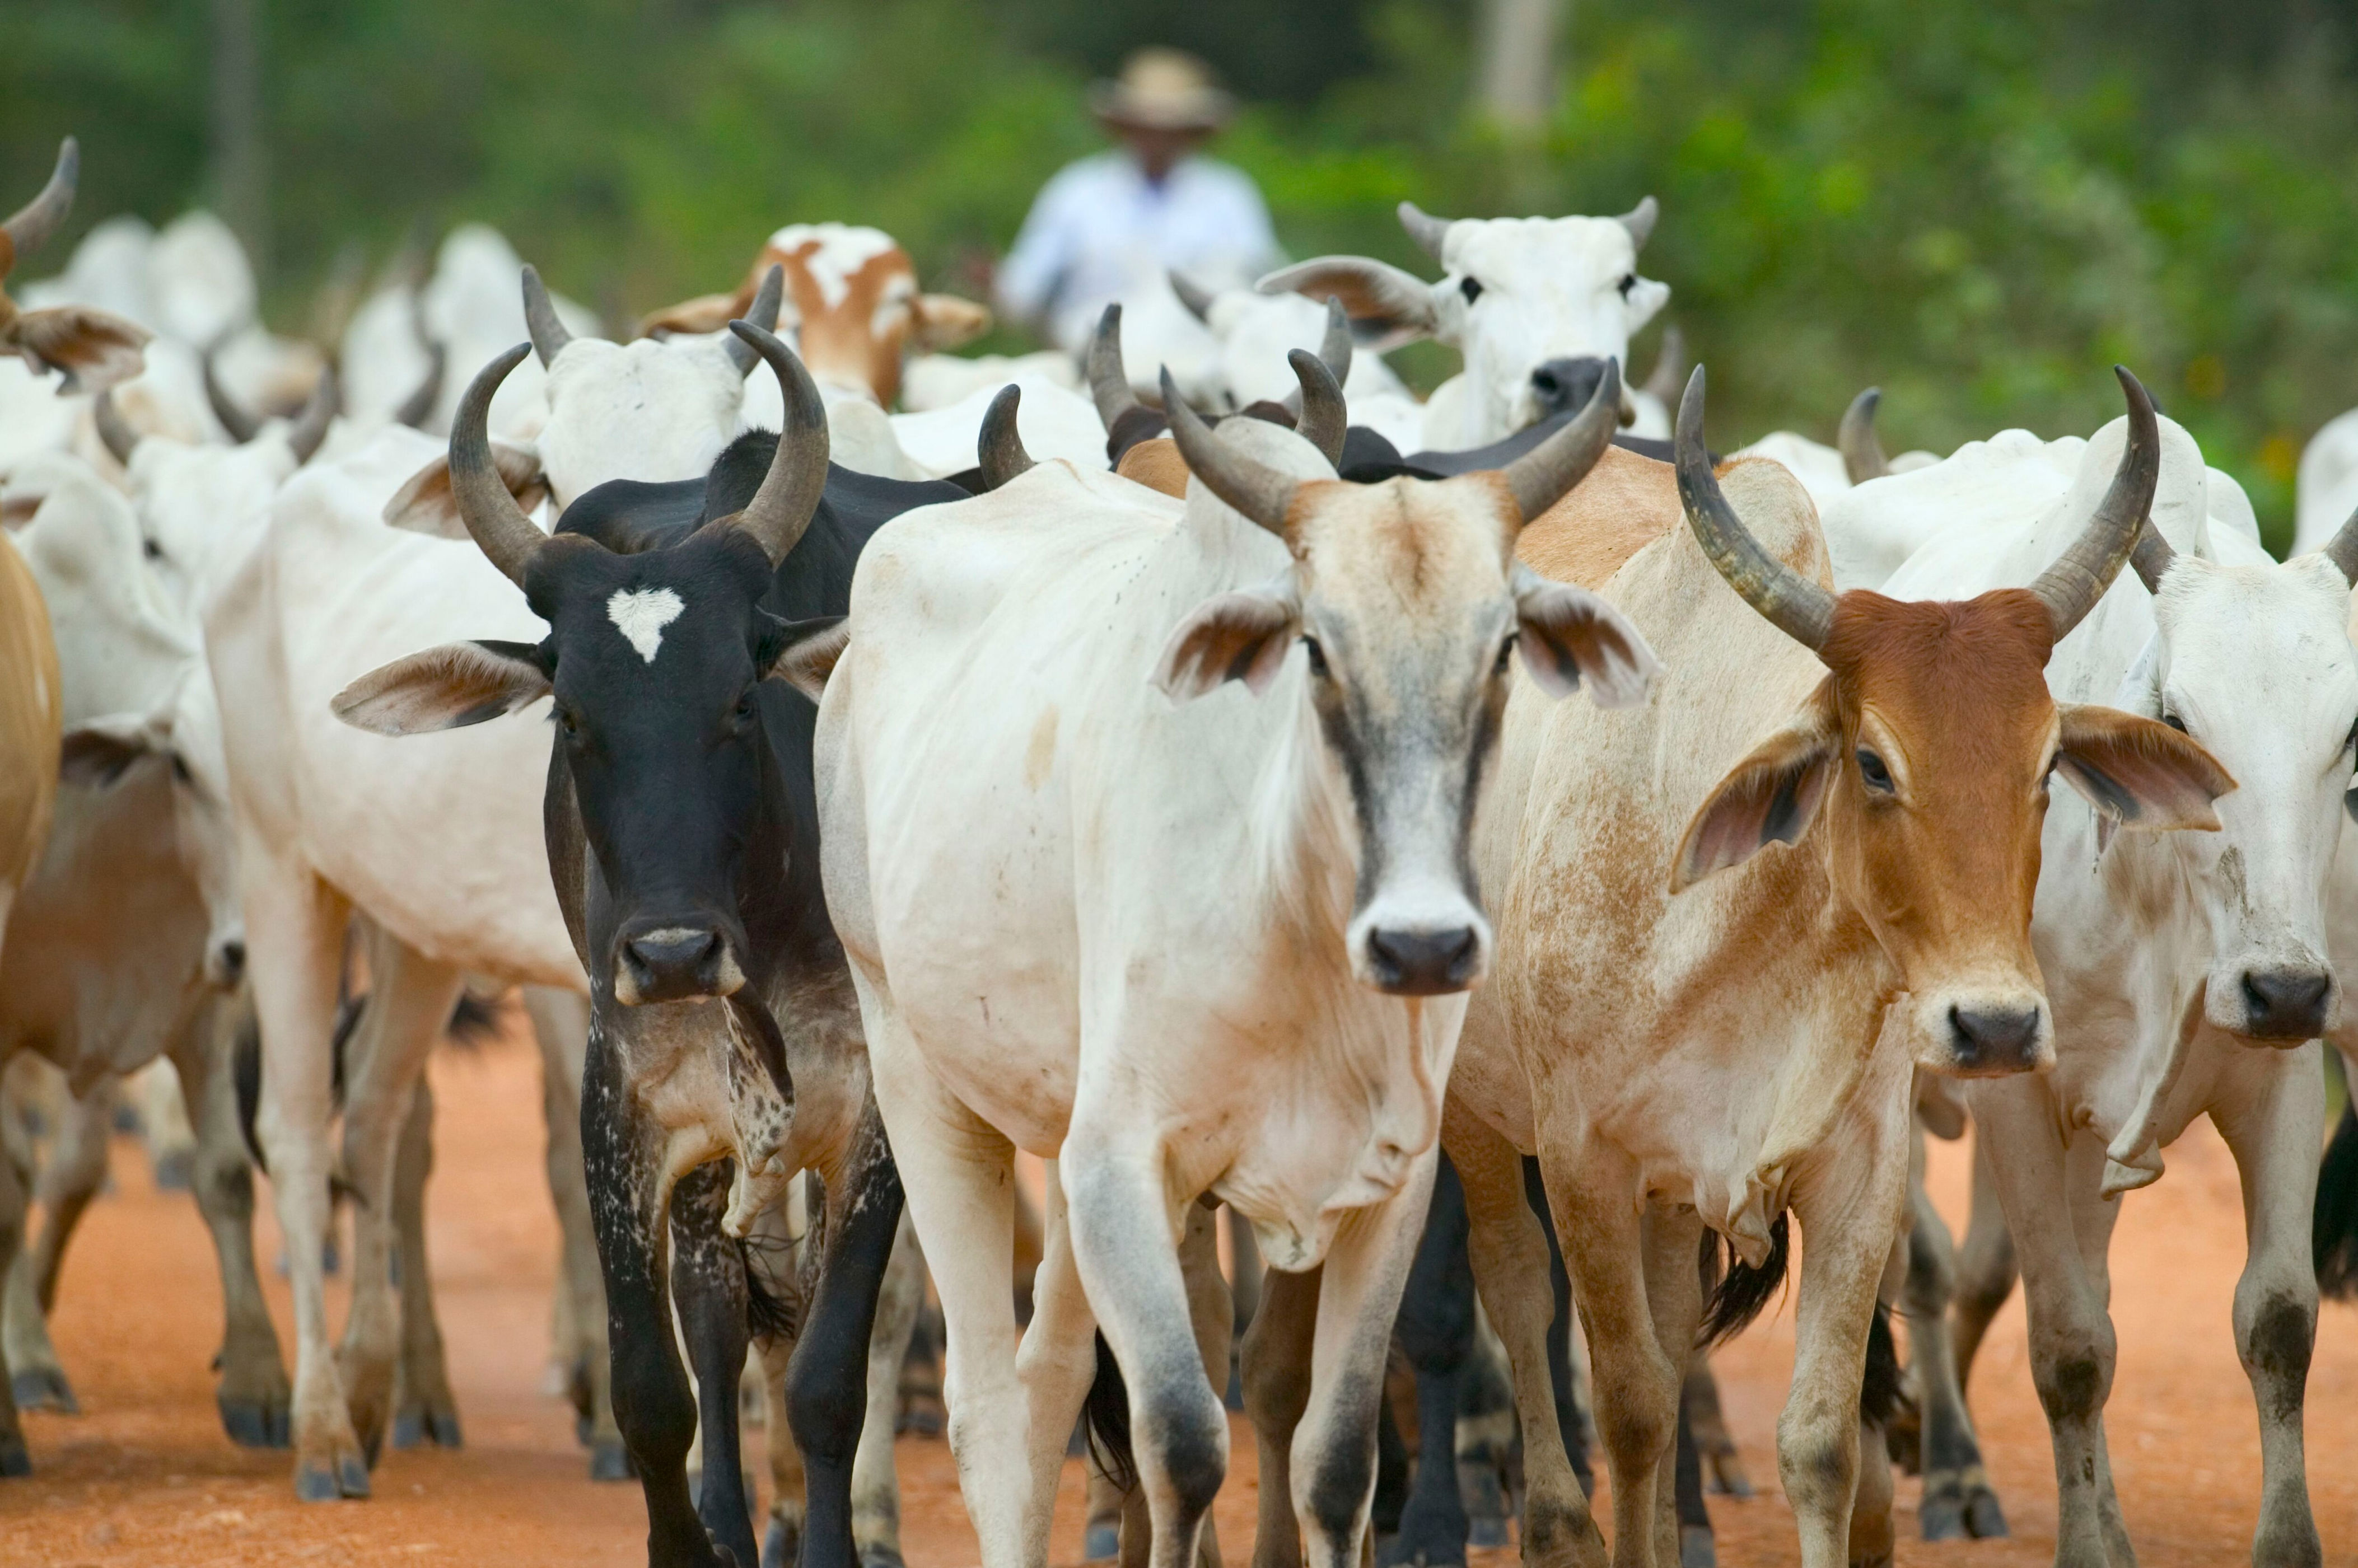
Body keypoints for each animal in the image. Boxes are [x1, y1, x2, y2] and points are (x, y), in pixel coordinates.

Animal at [342, 327, 947, 1565]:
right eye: (571, 717)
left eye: (740, 702)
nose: (671, 955)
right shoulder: (621, 1099)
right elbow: (652, 1385)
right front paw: (695, 1534)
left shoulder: (873, 1112)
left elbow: (829, 1375)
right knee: (715, 1312)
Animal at [811, 349, 1660, 1565]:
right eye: (1315, 649)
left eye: (1501, 650)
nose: (1421, 942)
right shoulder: (1121, 1167)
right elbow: (1180, 1438)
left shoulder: (1387, 1185)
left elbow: (1332, 1457)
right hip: (917, 1073)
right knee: (987, 1410)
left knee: (1046, 1377)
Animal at [1839, 410, 2358, 1556]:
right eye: (2180, 719)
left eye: (2346, 736)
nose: (2283, 989)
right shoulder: (2018, 1091)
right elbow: (2068, 1345)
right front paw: (2084, 1543)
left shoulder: (2281, 1078)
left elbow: (2277, 1322)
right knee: (1912, 1264)